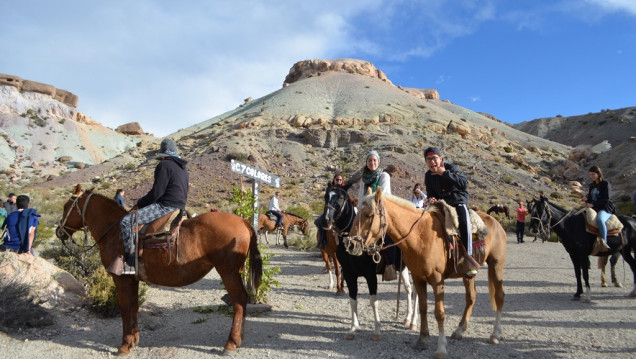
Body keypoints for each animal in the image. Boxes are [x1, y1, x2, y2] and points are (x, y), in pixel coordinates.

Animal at [55, 186, 260, 358]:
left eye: (66, 207)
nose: (59, 231)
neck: (114, 232)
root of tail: (243, 221)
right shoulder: (132, 279)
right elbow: (134, 306)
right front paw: (134, 340)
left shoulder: (121, 279)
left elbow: (125, 308)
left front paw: (124, 346)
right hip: (235, 272)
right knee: (242, 300)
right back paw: (239, 338)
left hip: (228, 272)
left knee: (239, 301)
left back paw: (231, 343)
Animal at [320, 186, 420, 340]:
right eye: (326, 196)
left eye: (340, 198)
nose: (325, 220)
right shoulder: (349, 274)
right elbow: (353, 299)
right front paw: (353, 328)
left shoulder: (370, 275)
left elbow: (373, 301)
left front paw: (377, 330)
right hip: (402, 267)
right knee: (408, 289)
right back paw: (407, 318)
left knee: (416, 292)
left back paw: (414, 322)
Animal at [346, 188, 504, 359]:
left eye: (368, 215)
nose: (350, 244)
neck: (420, 236)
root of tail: (495, 222)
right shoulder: (418, 277)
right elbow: (422, 308)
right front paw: (422, 339)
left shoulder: (437, 279)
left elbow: (439, 312)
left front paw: (441, 348)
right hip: (468, 276)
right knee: (471, 297)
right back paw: (459, 330)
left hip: (496, 266)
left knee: (499, 296)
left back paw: (495, 335)